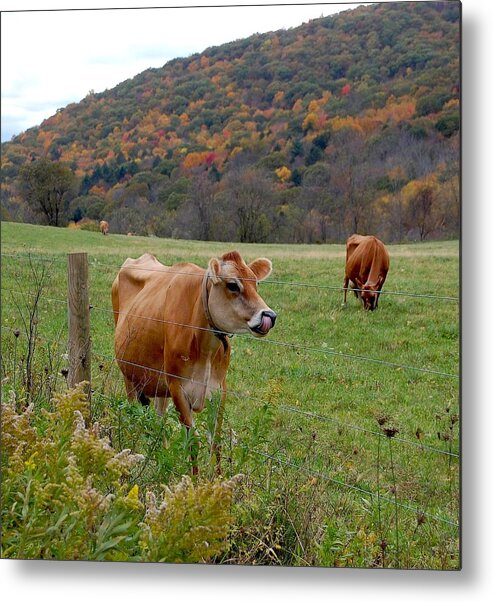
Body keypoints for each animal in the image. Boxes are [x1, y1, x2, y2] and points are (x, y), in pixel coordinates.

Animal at [111, 248, 276, 468]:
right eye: (233, 284)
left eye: (256, 283)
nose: (269, 316)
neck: (205, 349)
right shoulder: (178, 388)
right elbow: (193, 443)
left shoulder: (219, 388)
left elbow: (216, 442)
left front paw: (216, 477)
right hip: (129, 375)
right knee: (133, 412)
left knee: (160, 417)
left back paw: (162, 455)